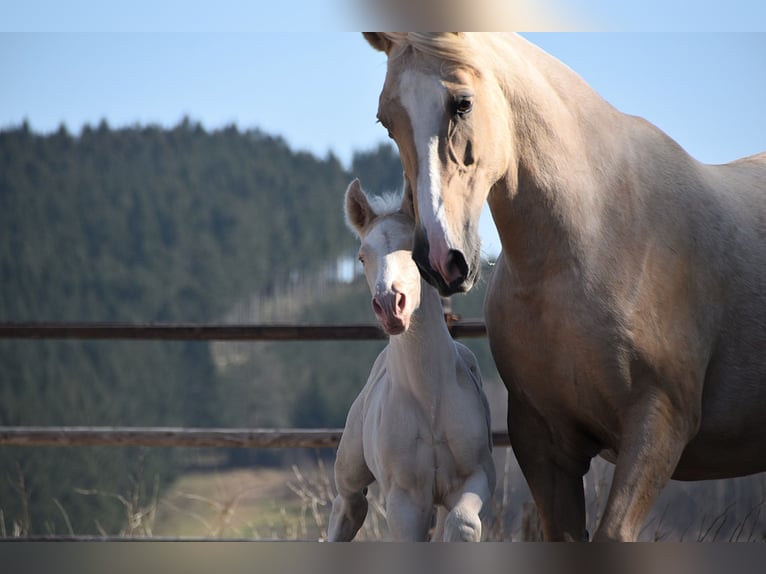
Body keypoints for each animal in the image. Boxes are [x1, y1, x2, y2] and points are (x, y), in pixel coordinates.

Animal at [327, 179, 495, 541]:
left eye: (414, 250)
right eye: (361, 257)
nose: (391, 304)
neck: (428, 399)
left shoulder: (476, 475)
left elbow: (463, 523)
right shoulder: (405, 498)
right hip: (349, 470)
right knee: (347, 507)